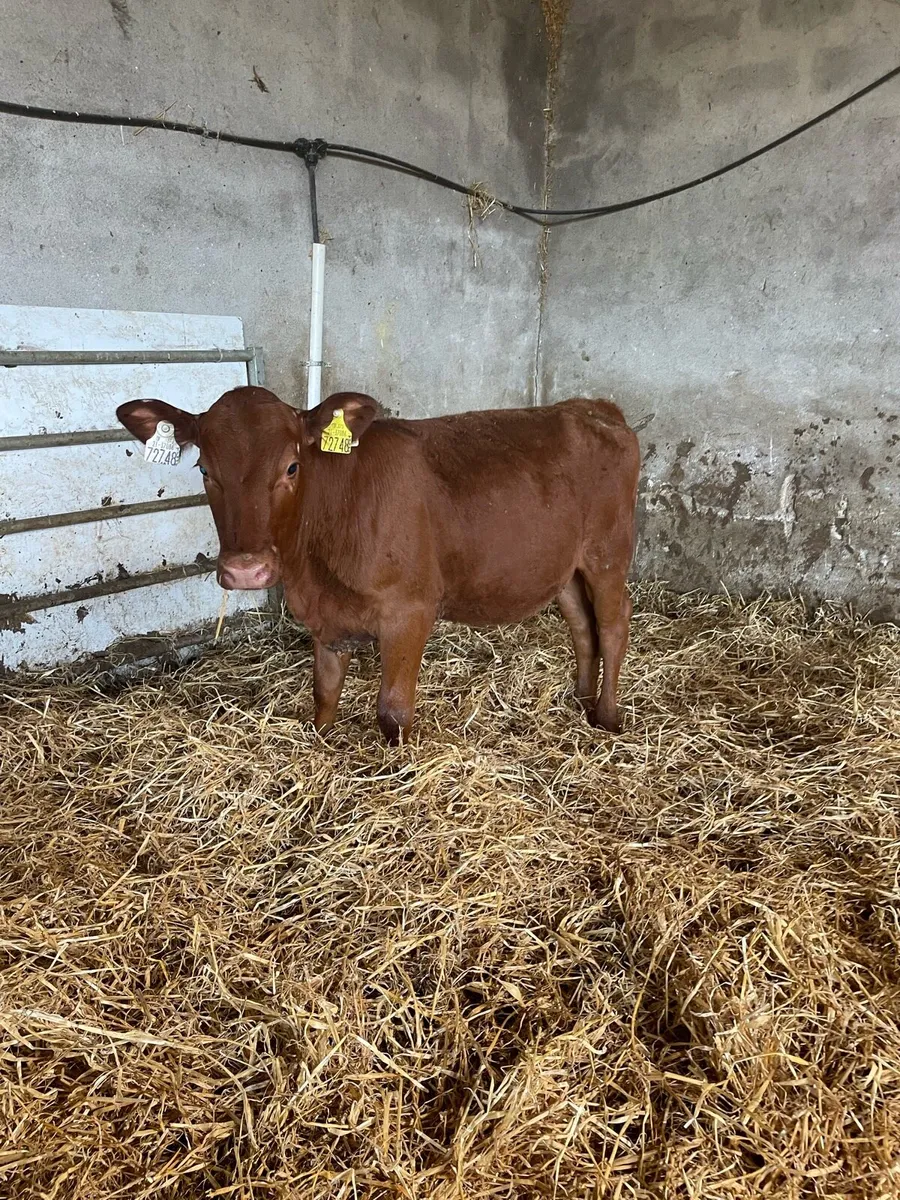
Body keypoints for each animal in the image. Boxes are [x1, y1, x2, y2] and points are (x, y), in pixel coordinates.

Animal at [117, 387, 640, 744]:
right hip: (564, 565)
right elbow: (324, 693)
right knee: (582, 627)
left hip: (608, 551)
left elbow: (393, 711)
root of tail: (592, 406)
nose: (247, 570)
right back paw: (581, 699)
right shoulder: (326, 617)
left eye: (292, 467)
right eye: (204, 469)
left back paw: (607, 717)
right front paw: (320, 744)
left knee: (614, 624)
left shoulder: (411, 611)